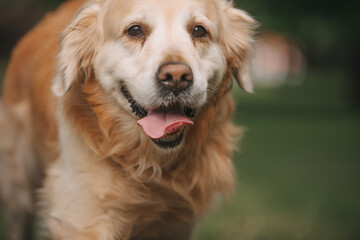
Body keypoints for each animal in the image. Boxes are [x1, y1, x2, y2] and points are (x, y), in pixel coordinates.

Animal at [0, 0, 256, 239]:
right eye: (135, 30)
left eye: (199, 31)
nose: (176, 77)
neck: (148, 162)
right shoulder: (83, 216)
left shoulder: (176, 224)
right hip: (18, 187)